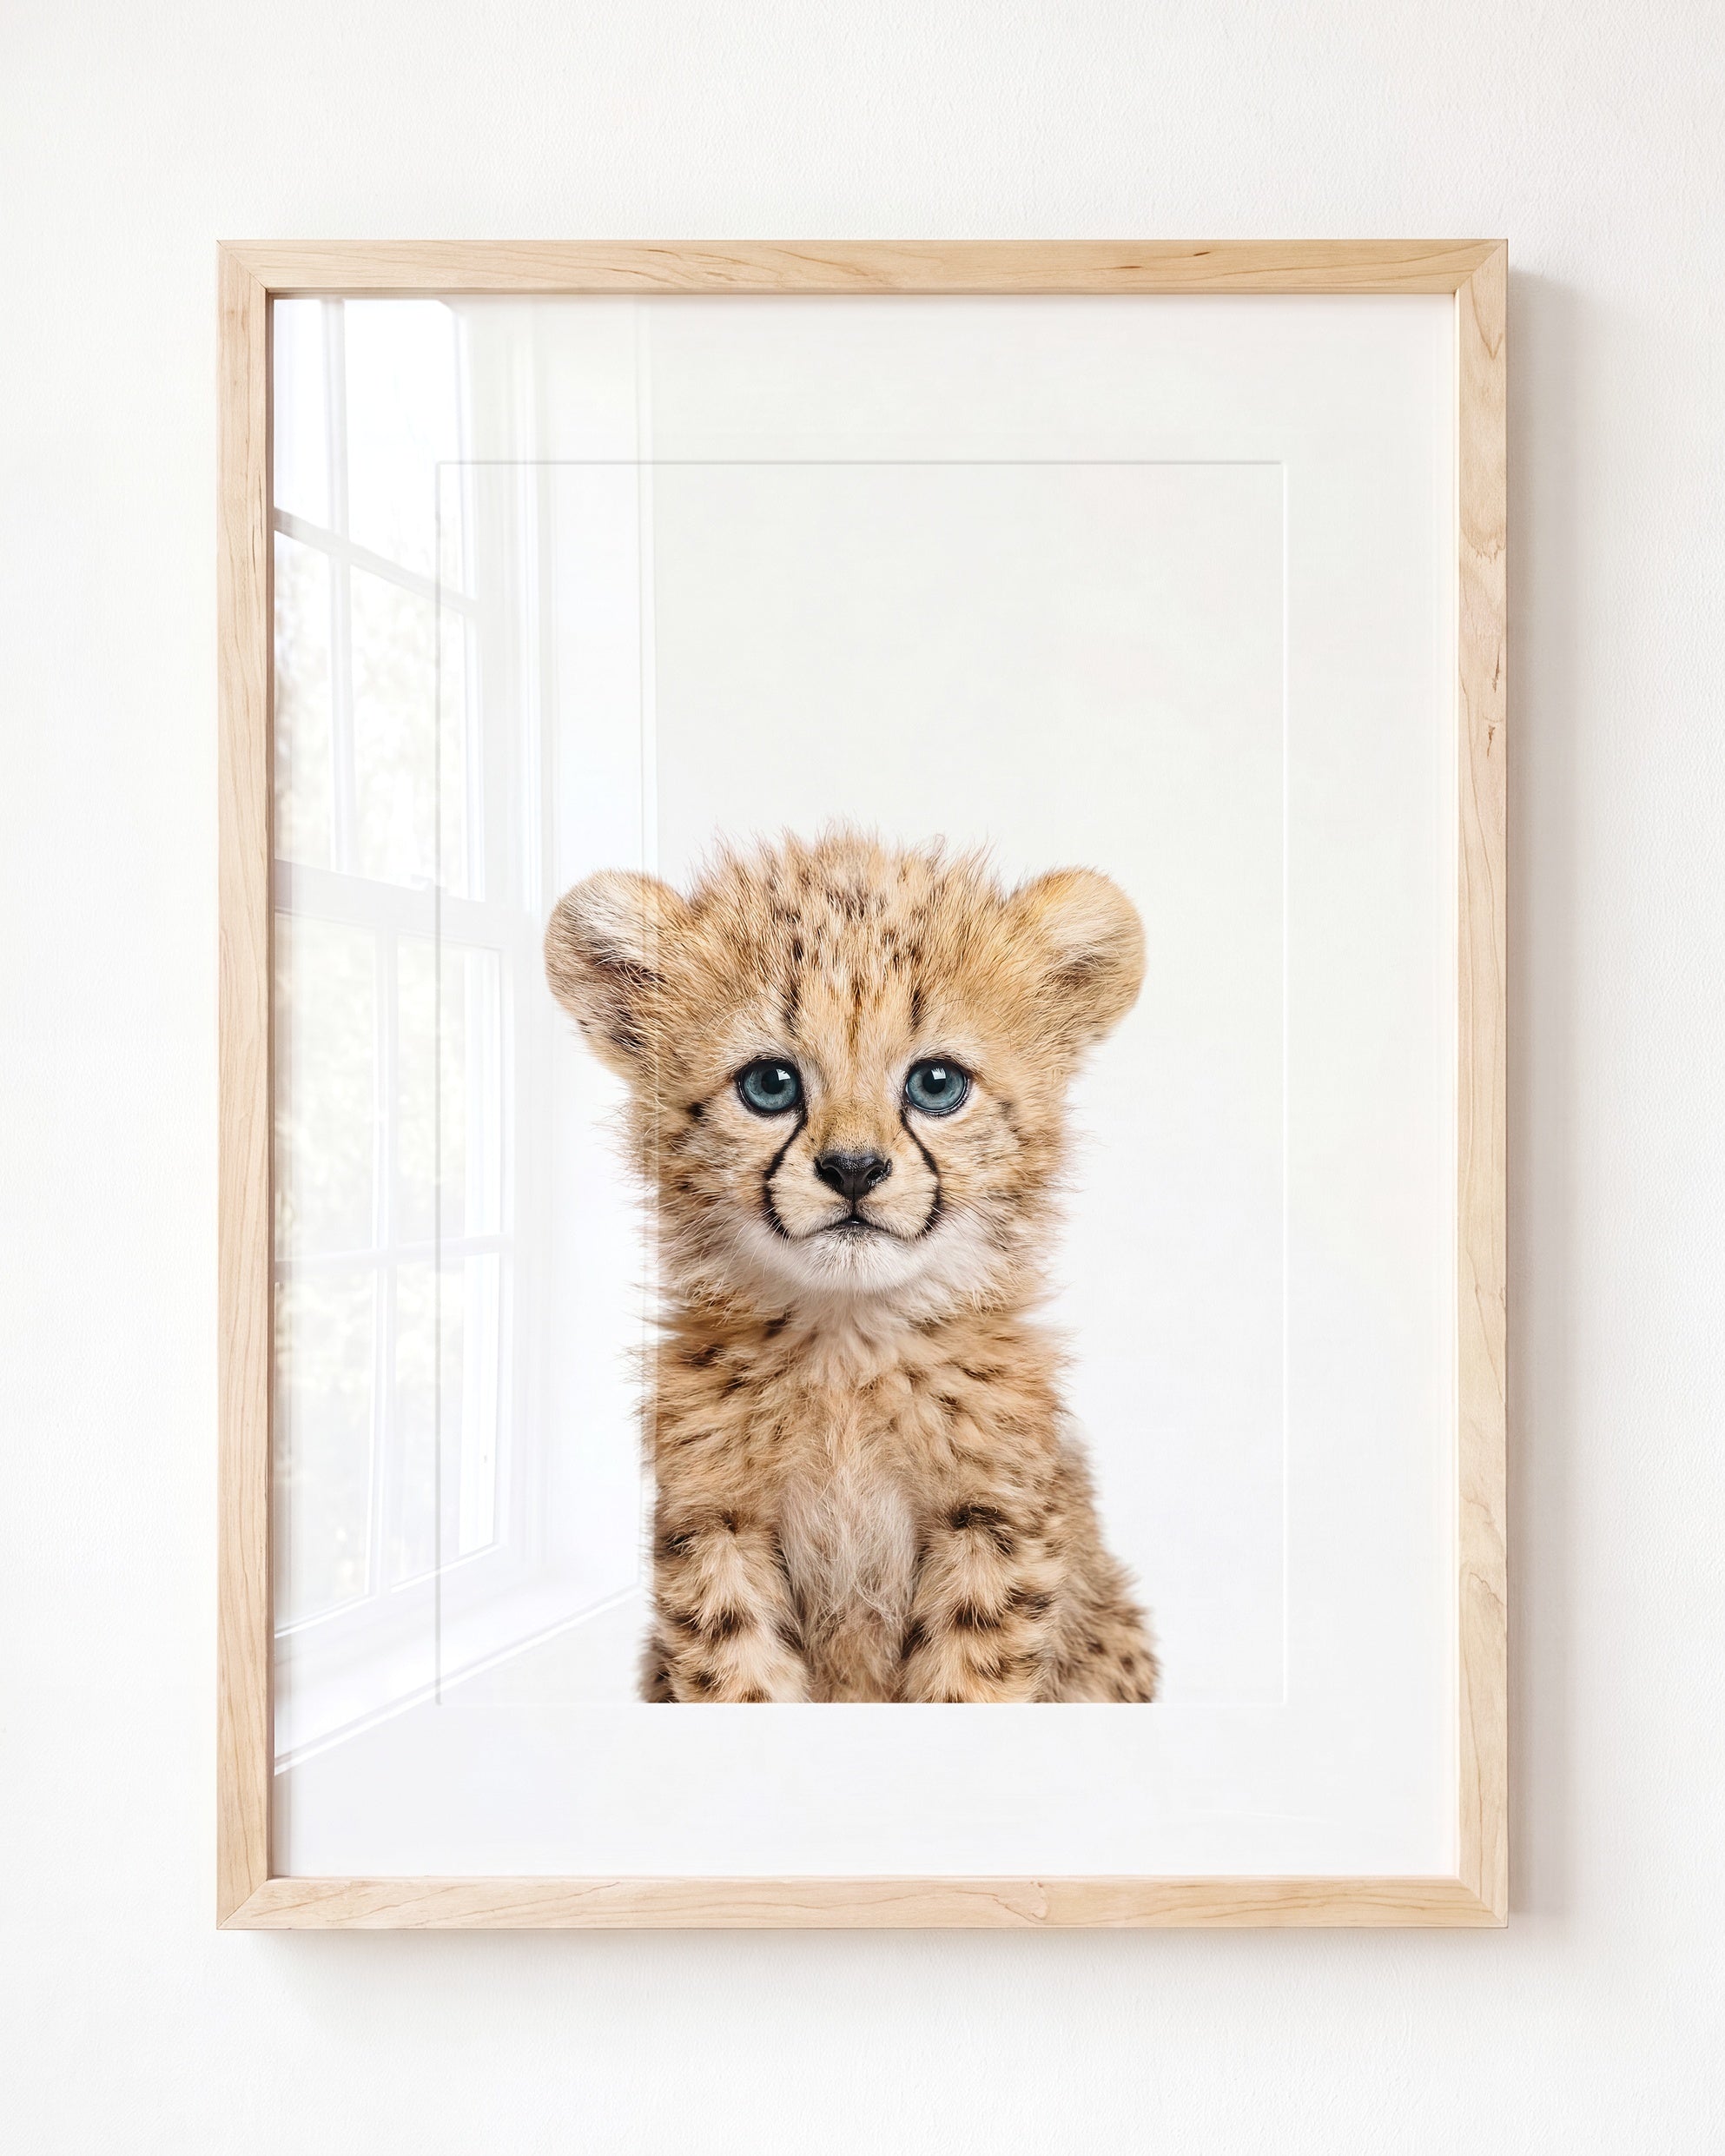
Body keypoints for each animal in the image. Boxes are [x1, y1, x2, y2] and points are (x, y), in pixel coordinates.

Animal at [544, 828, 1159, 1703]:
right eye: (770, 1085)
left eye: (937, 1083)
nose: (855, 1169)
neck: (847, 1345)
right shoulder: (716, 1525)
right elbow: (739, 1675)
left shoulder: (993, 1523)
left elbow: (969, 1680)